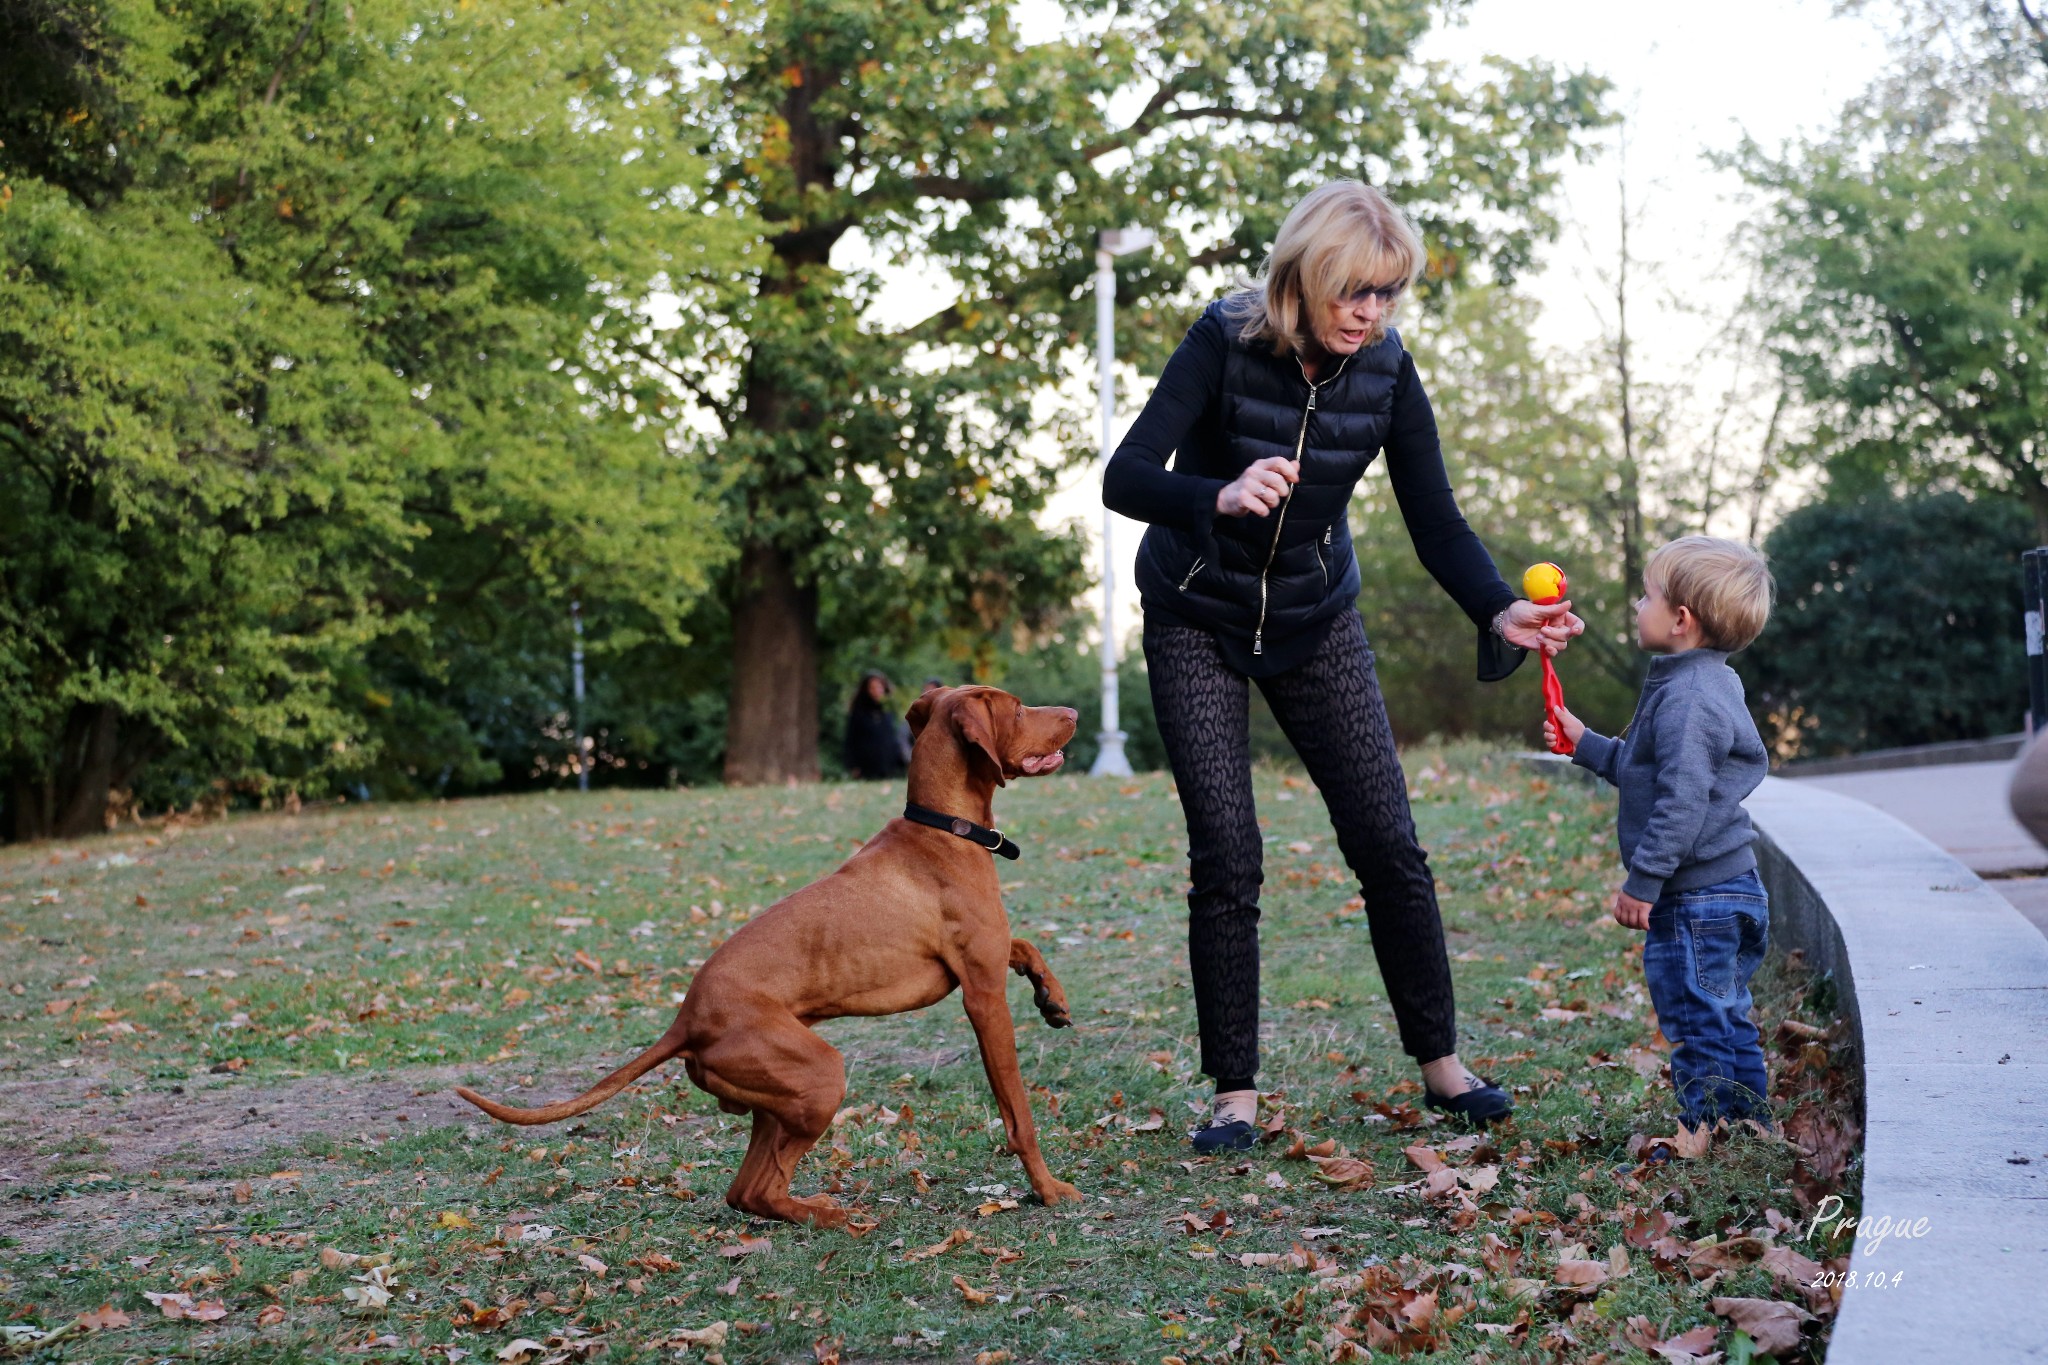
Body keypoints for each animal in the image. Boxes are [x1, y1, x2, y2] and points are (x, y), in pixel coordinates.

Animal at [454, 683, 1081, 1227]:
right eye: (1018, 708)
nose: (1075, 712)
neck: (944, 828)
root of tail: (686, 1019)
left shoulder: (988, 958)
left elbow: (1025, 944)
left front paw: (1052, 996)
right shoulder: (982, 994)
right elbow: (1018, 1113)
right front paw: (1047, 1189)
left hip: (778, 1100)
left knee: (745, 1191)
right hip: (821, 1076)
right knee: (762, 1189)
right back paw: (835, 1216)